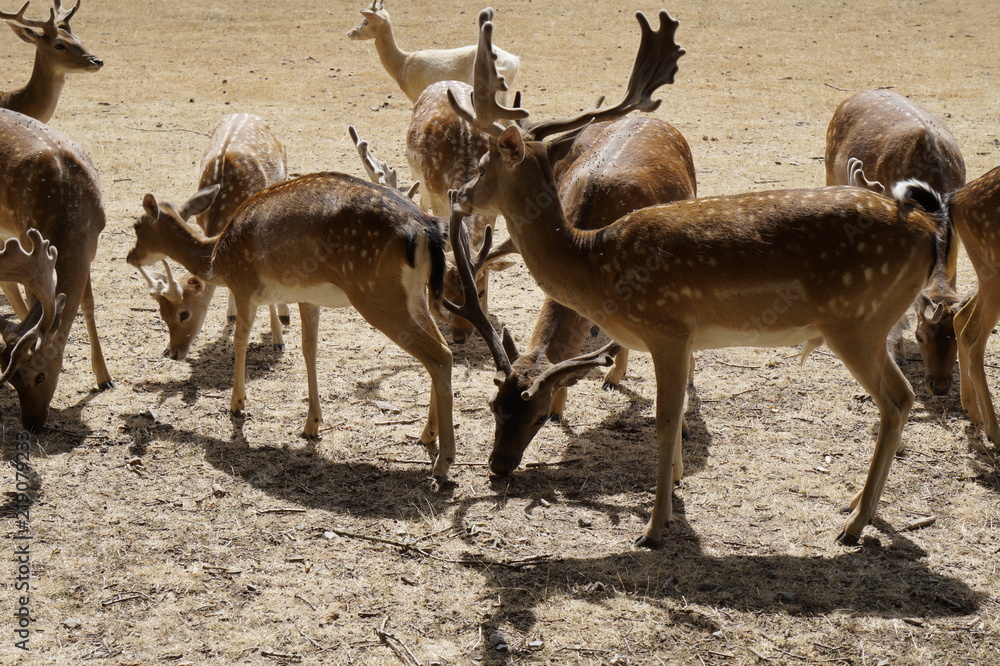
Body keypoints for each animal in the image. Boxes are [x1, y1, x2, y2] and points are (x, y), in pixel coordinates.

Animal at [0, 108, 114, 429]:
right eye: (12, 381)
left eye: (40, 377)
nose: (31, 425)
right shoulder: (28, 235)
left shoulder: (92, 244)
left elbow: (88, 303)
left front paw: (104, 378)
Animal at [127, 172, 457, 481]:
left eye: (180, 313)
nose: (172, 352)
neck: (217, 257)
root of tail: (426, 229)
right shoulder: (307, 296)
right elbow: (309, 349)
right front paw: (312, 424)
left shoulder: (244, 285)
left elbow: (239, 340)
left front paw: (237, 405)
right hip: (416, 296)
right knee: (444, 350)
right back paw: (428, 435)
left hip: (376, 295)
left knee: (439, 356)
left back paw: (443, 462)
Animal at [448, 12, 951, 548]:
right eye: (490, 405)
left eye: (484, 163)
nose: (460, 194)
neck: (596, 265)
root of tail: (928, 229)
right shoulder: (682, 338)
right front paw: (672, 495)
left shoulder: (667, 327)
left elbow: (667, 420)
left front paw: (655, 526)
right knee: (898, 400)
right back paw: (855, 504)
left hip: (858, 321)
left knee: (899, 398)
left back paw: (854, 525)